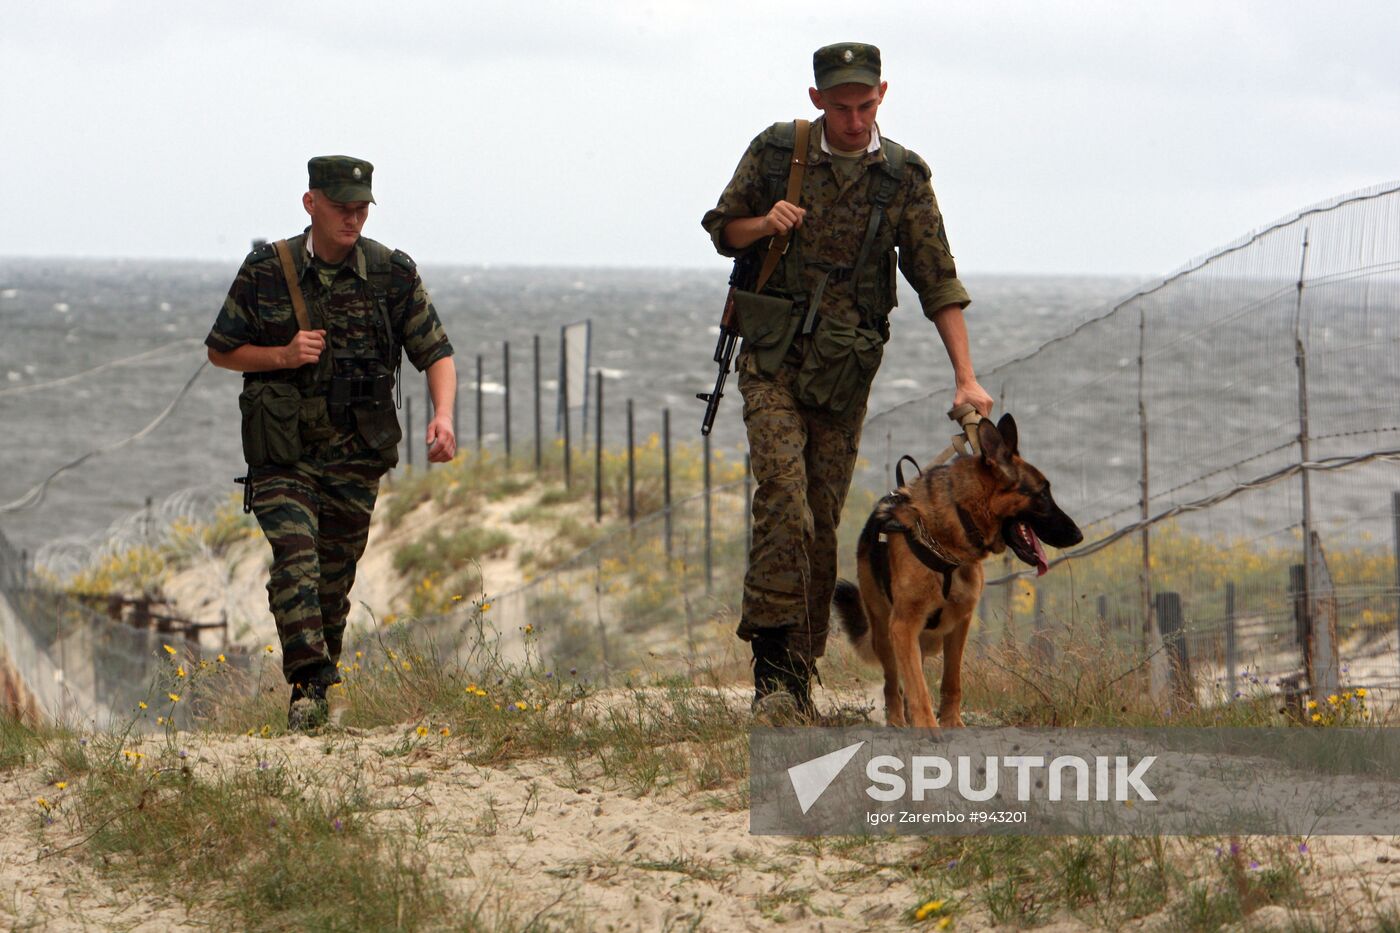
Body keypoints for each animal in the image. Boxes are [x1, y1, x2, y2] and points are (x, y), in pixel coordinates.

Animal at [828, 414, 1080, 728]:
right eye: (1043, 494)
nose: (1079, 535)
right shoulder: (903, 625)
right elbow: (918, 686)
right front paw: (927, 726)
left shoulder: (960, 622)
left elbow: (951, 680)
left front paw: (951, 722)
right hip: (885, 632)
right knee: (892, 682)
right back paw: (898, 720)